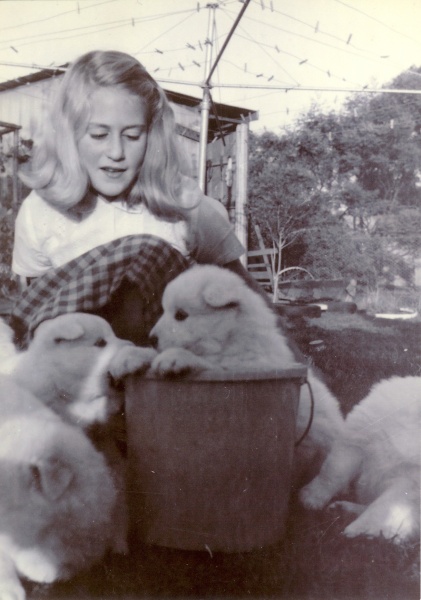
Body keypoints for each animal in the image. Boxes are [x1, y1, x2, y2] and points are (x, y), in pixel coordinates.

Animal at [149, 264, 342, 480]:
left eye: (181, 315)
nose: (151, 339)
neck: (233, 336)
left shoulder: (242, 366)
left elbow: (208, 362)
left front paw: (174, 357)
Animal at [300, 380, 418, 544]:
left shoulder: (408, 483)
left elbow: (381, 509)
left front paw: (359, 532)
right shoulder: (356, 441)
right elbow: (332, 473)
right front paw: (311, 497)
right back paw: (343, 509)